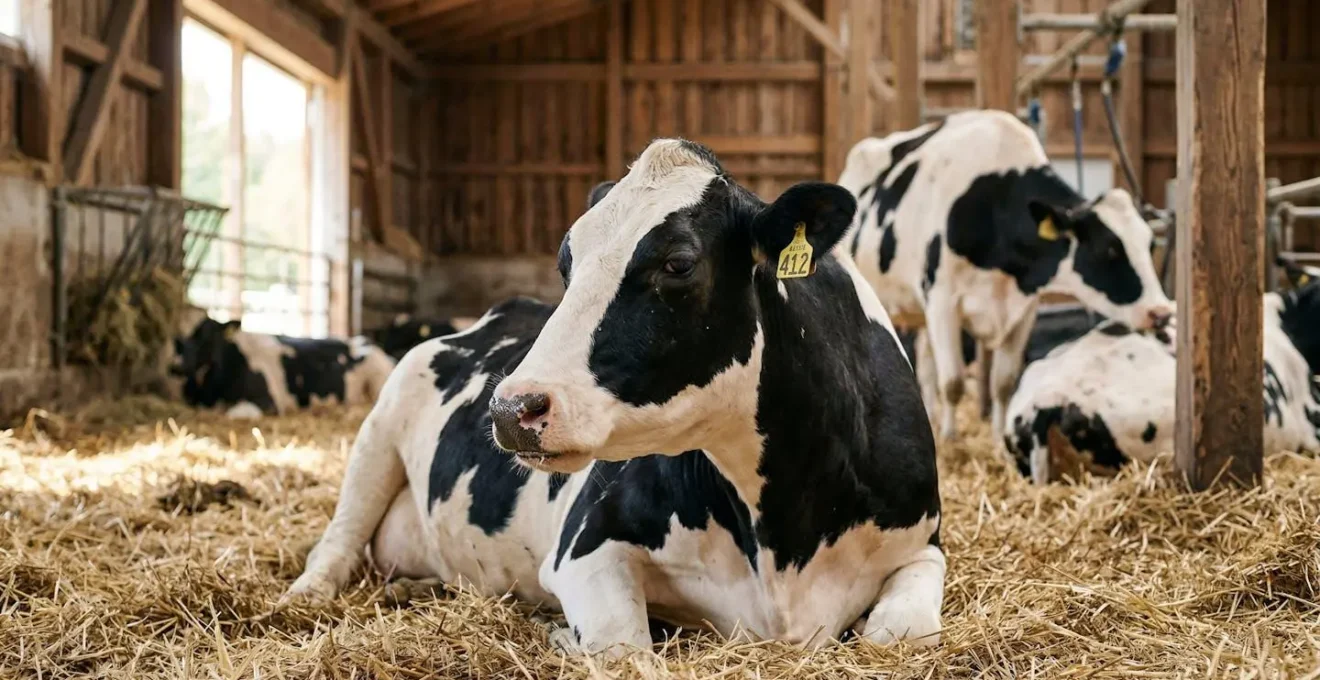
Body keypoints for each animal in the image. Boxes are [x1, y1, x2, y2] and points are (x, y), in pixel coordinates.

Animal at [285, 139, 944, 656]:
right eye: (566, 263)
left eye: (678, 263)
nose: (512, 409)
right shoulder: (585, 549)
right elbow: (624, 647)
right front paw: (560, 634)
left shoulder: (924, 547)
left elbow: (898, 634)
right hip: (378, 432)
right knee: (337, 540)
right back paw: (302, 597)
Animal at [836, 109, 1173, 444]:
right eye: (1109, 249)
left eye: (1149, 244)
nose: (1160, 312)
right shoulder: (942, 301)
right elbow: (953, 381)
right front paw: (951, 439)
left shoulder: (1024, 308)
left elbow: (1003, 383)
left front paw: (998, 439)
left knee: (927, 364)